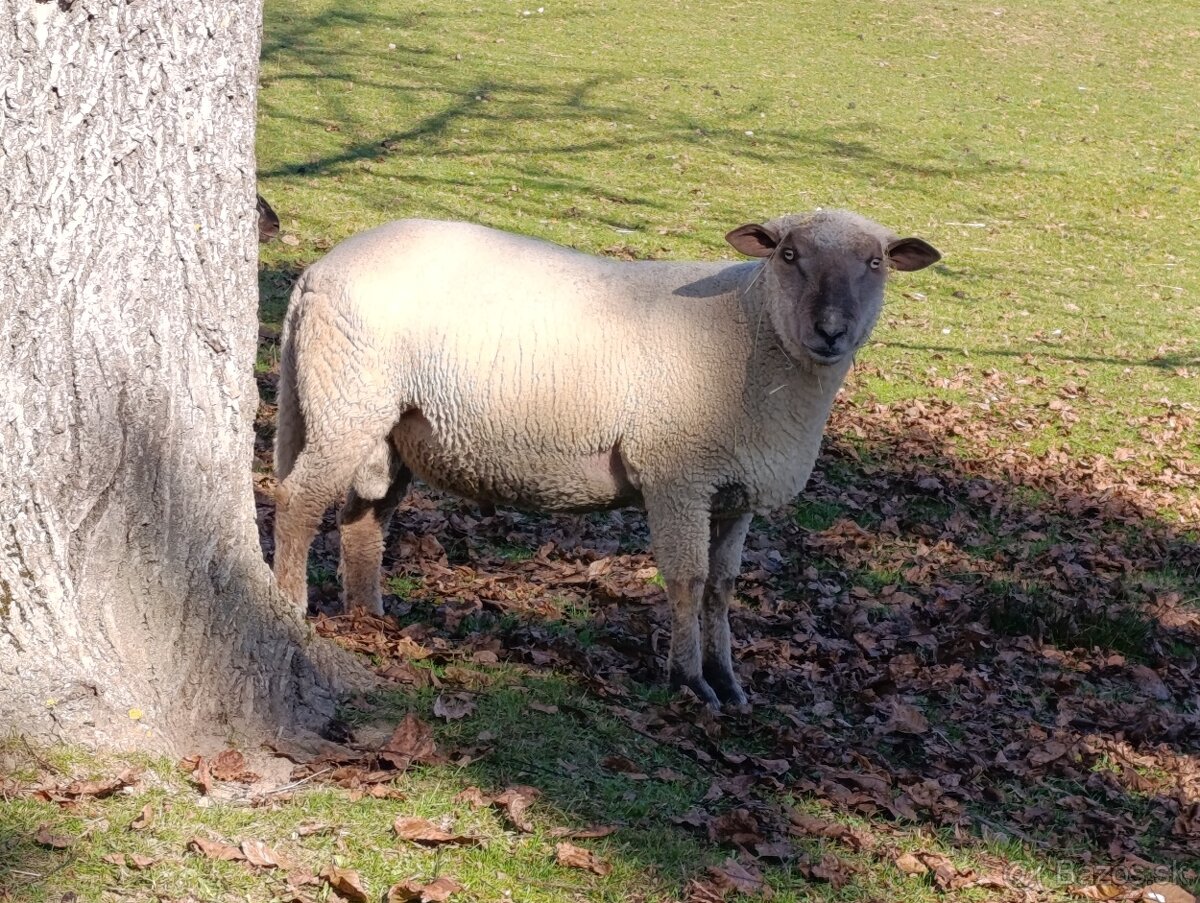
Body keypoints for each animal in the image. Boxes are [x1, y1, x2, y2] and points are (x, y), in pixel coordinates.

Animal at [272, 210, 936, 706]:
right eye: (789, 255)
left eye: (876, 263)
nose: (831, 330)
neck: (750, 331)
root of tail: (317, 274)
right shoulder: (678, 474)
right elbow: (688, 580)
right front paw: (690, 681)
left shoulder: (735, 490)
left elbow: (723, 588)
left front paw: (728, 682)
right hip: (348, 397)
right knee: (298, 501)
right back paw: (290, 609)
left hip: (387, 424)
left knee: (363, 519)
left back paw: (368, 618)